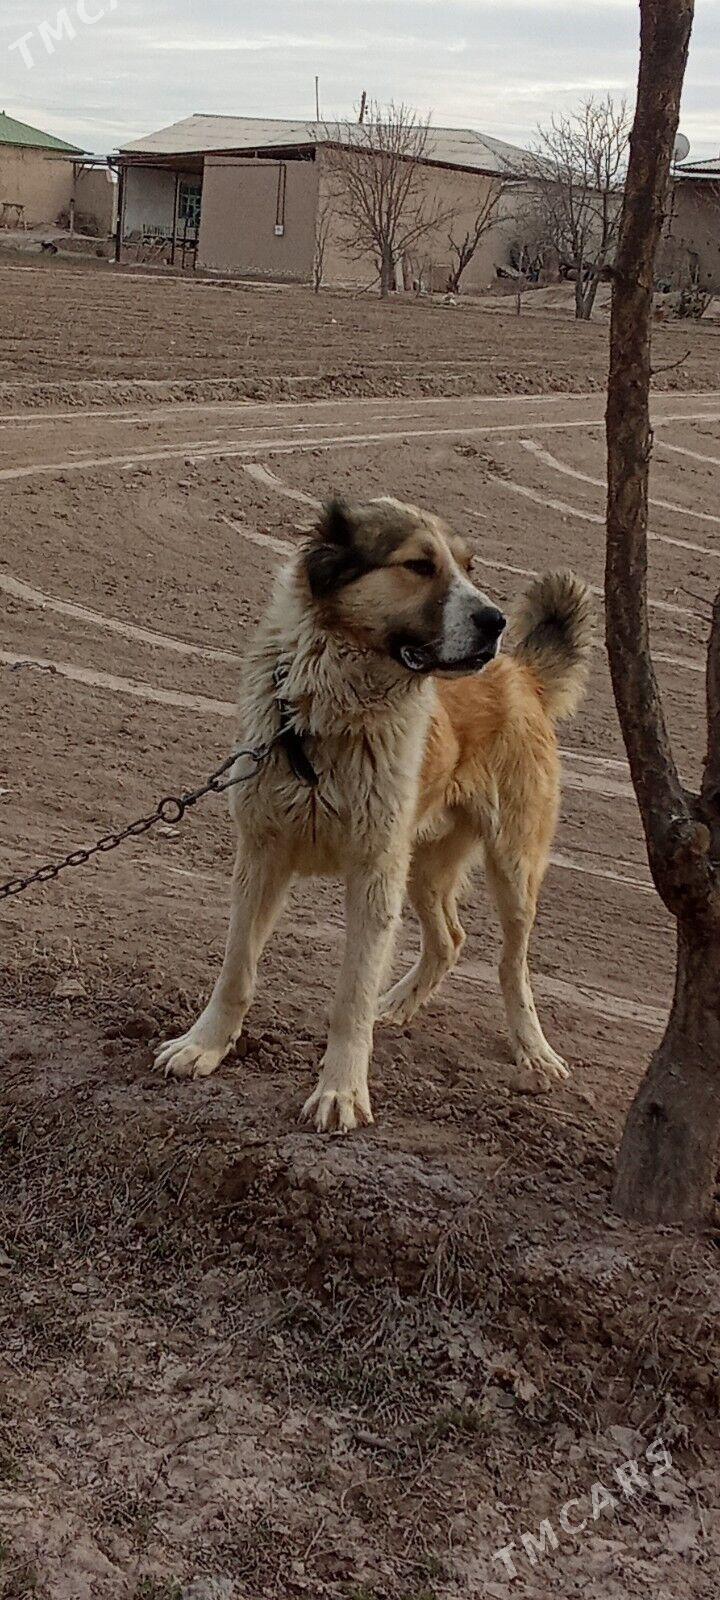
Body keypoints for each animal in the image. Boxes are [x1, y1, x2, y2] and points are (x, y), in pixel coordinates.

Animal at [155, 496, 593, 1131]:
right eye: (418, 565)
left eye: (467, 566)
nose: (495, 622)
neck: (329, 717)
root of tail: (520, 673)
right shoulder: (261, 857)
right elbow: (237, 968)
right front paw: (204, 1045)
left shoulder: (373, 876)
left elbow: (350, 998)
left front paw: (340, 1090)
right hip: (422, 866)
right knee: (450, 938)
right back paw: (399, 1004)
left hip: (510, 868)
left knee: (512, 965)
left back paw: (532, 1051)